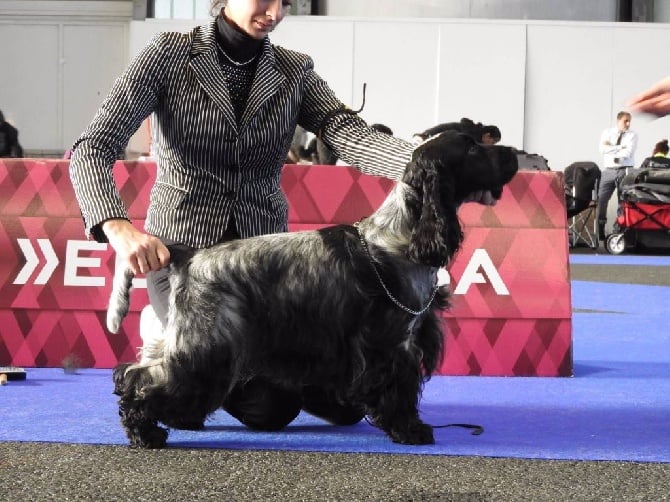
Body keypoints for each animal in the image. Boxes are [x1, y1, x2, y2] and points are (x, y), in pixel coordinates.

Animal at [109, 129, 520, 448]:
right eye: (471, 148)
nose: (513, 153)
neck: (402, 235)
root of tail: (189, 256)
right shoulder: (394, 342)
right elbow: (398, 389)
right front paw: (411, 430)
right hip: (209, 346)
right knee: (148, 382)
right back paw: (146, 433)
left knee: (135, 372)